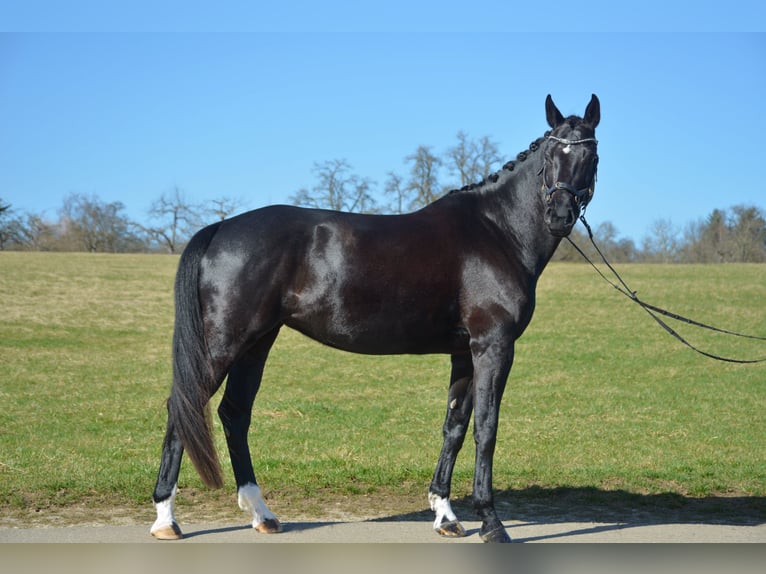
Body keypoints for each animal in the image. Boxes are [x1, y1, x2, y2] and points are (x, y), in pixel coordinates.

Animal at [150, 94, 601, 543]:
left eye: (590, 155)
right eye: (551, 154)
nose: (559, 215)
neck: (496, 231)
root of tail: (220, 228)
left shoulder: (464, 353)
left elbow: (454, 426)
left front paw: (445, 514)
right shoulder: (493, 346)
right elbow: (485, 429)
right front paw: (491, 523)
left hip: (257, 342)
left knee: (235, 414)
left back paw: (262, 514)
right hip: (224, 343)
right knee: (183, 406)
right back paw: (166, 519)